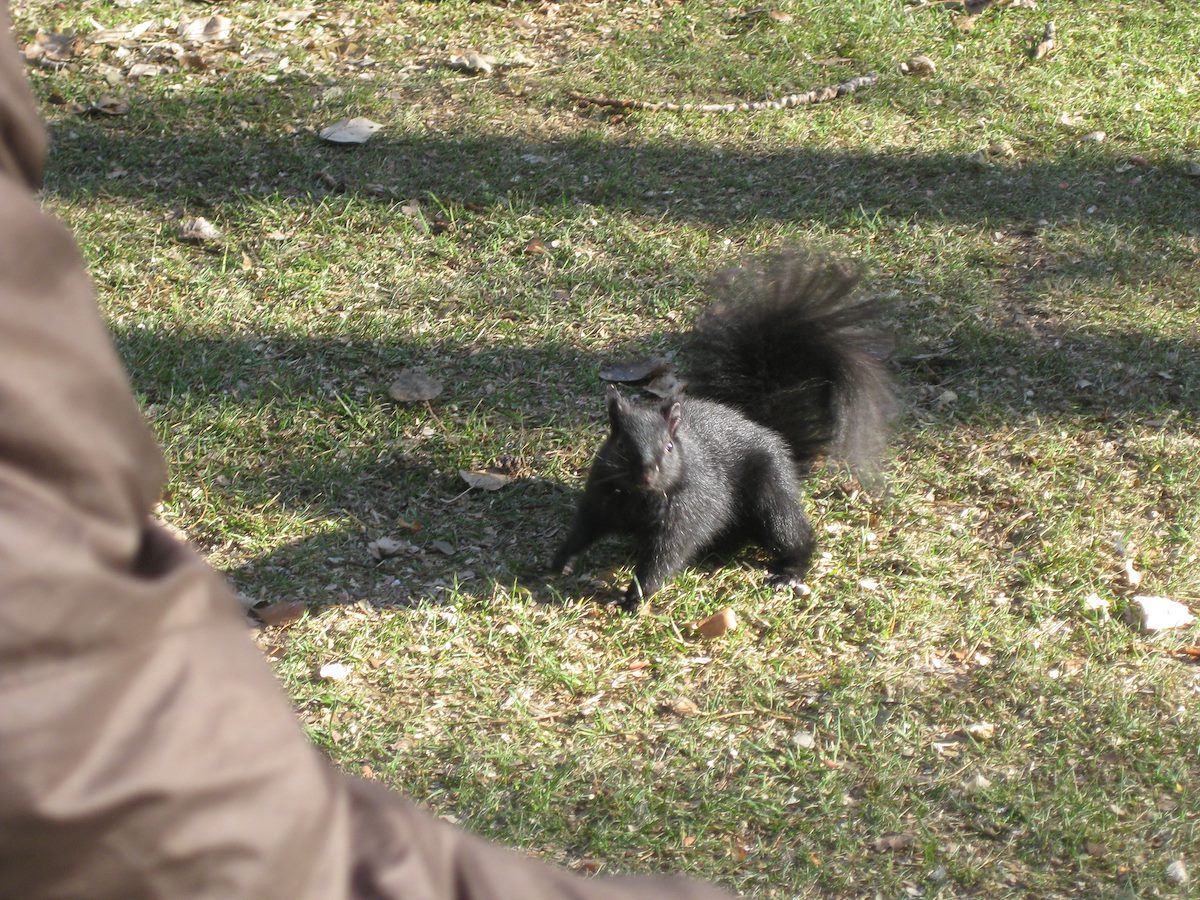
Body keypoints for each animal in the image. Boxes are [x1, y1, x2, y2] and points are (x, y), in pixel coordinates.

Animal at [549, 254, 897, 614]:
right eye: (619, 443)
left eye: (669, 446)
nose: (646, 473)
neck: (641, 496)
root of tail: (772, 434)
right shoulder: (600, 495)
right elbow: (584, 529)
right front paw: (560, 561)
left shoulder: (687, 510)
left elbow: (664, 557)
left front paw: (636, 595)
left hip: (771, 493)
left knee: (791, 533)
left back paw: (789, 571)